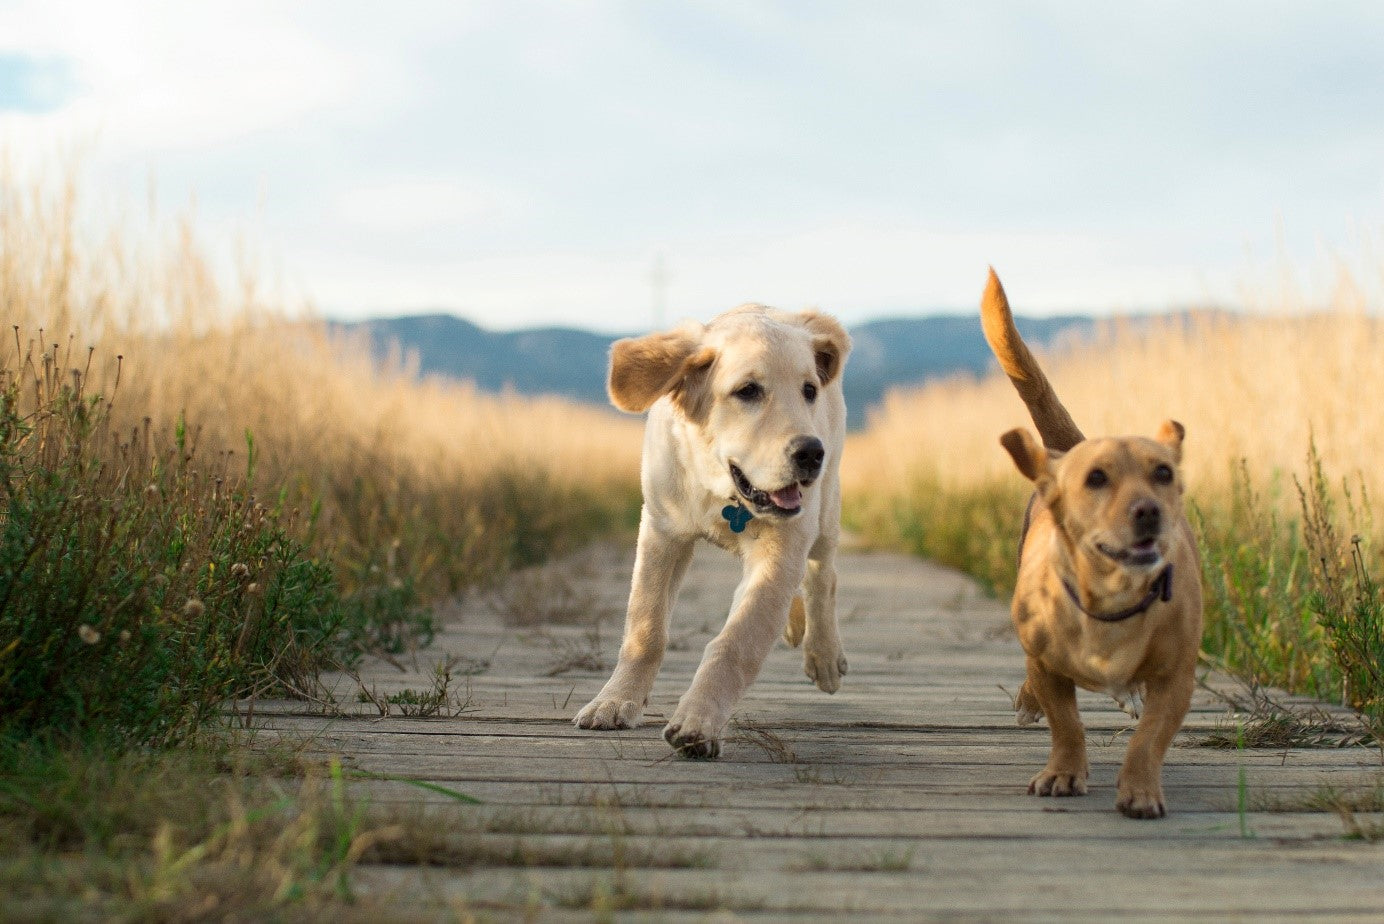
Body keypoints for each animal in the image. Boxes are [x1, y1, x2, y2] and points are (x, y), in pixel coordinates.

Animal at [570, 304, 847, 758]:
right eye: (748, 391)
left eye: (809, 390)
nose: (811, 453)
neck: (723, 491)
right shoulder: (661, 532)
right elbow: (645, 628)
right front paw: (615, 700)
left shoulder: (780, 548)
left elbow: (736, 642)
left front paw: (699, 720)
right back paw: (793, 625)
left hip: (824, 512)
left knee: (823, 574)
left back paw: (823, 655)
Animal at [985, 271, 1201, 818]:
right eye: (1097, 479)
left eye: (1163, 473)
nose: (1149, 510)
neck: (1112, 599)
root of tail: (1063, 450)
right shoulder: (1044, 663)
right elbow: (1067, 723)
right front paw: (1063, 771)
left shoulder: (1176, 677)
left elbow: (1149, 737)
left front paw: (1141, 788)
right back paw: (1028, 703)